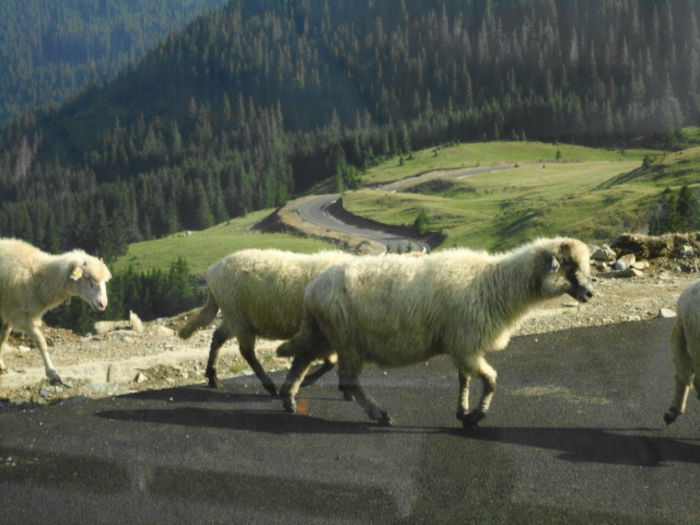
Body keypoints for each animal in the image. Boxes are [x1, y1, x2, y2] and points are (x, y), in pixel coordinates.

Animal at [0, 237, 110, 384]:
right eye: (88, 279)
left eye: (105, 281)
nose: (103, 304)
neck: (37, 276)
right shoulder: (19, 316)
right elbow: (40, 341)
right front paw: (52, 373)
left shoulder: (8, 312)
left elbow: (3, 337)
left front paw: (0, 365)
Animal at [178, 249, 352, 392]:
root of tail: (212, 272)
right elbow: (330, 362)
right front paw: (307, 380)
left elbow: (331, 361)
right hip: (239, 318)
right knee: (246, 351)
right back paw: (270, 386)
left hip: (234, 318)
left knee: (218, 337)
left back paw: (212, 378)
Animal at [276, 237, 592, 430]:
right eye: (569, 265)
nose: (590, 293)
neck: (495, 284)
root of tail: (312, 289)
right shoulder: (466, 344)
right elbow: (491, 381)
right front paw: (476, 416)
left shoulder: (462, 346)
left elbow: (464, 381)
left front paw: (463, 412)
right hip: (346, 339)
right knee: (349, 379)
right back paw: (379, 414)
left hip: (322, 332)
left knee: (301, 360)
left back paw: (288, 400)